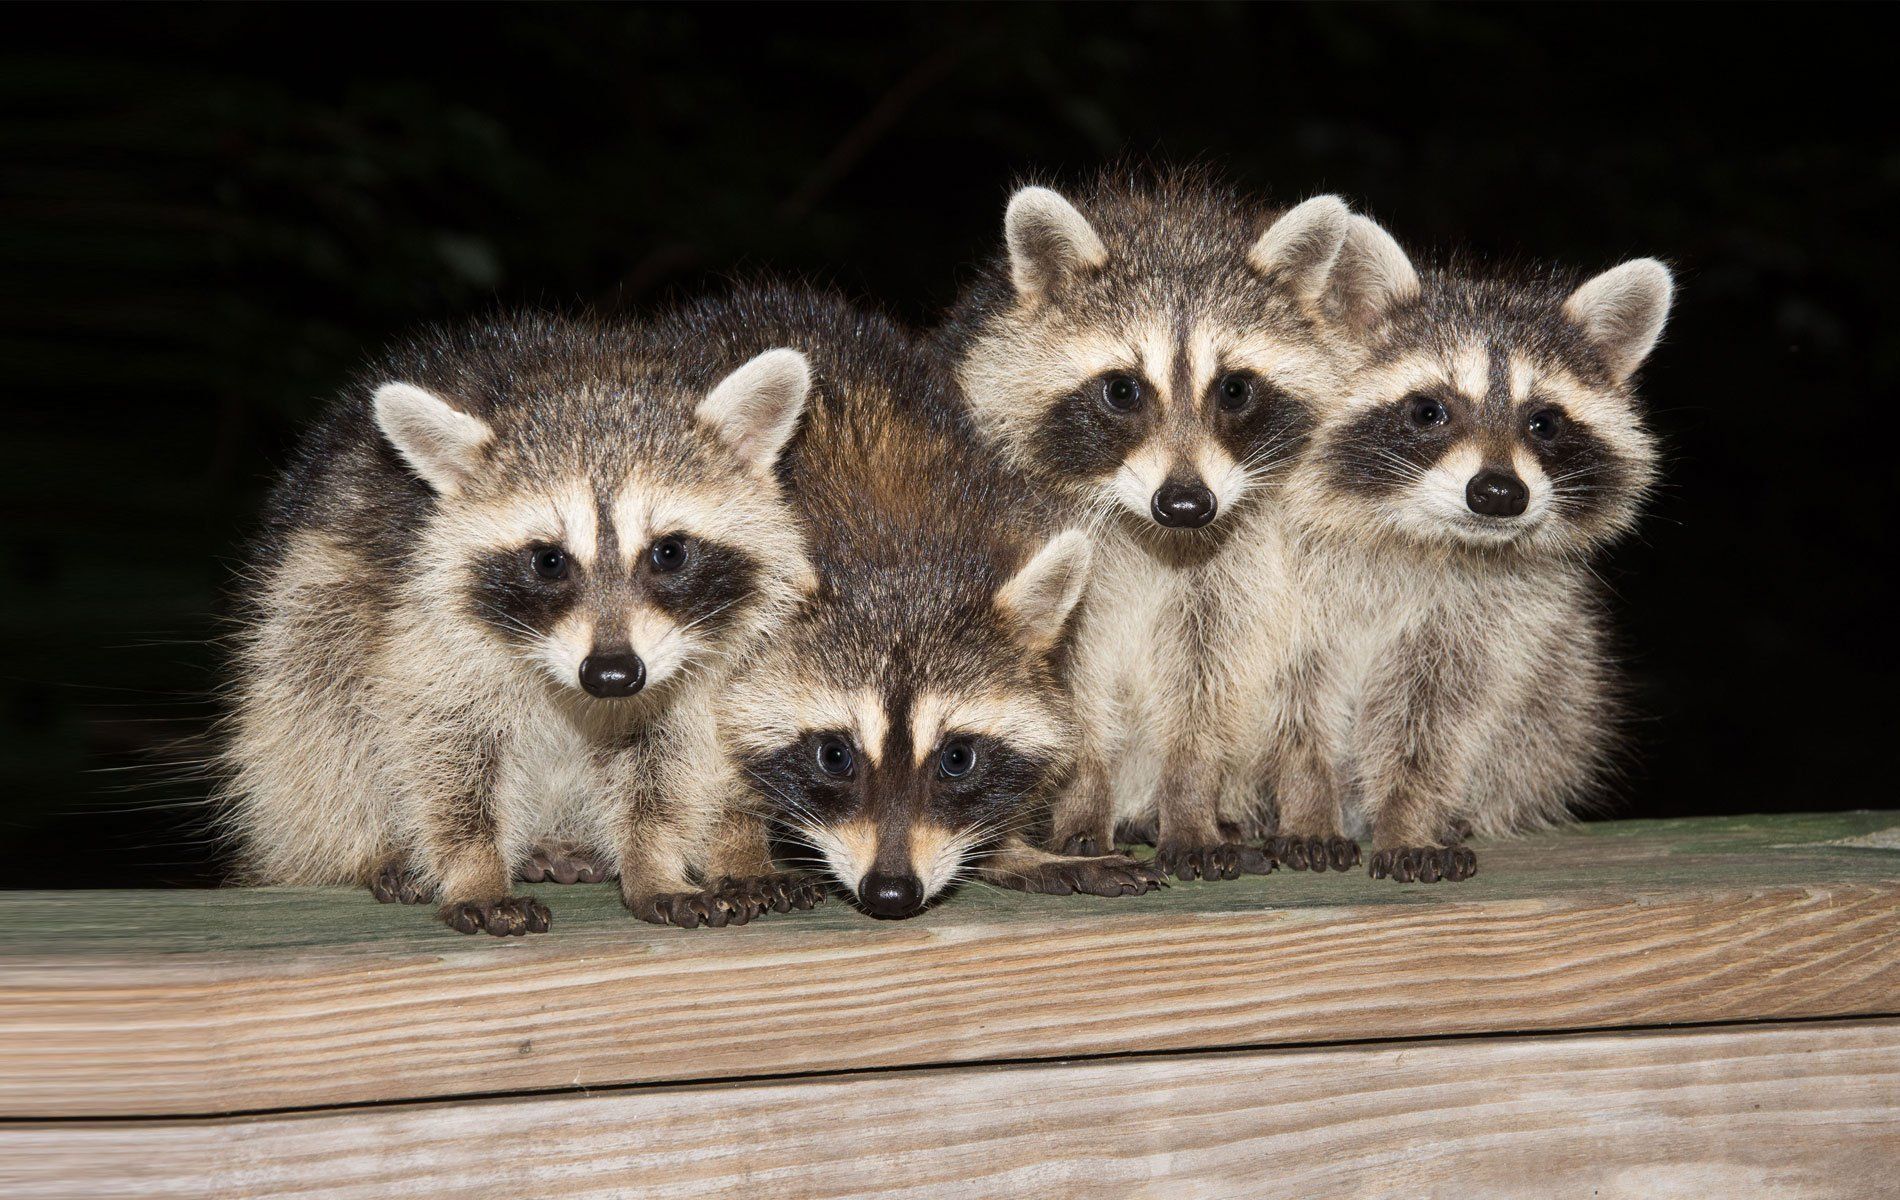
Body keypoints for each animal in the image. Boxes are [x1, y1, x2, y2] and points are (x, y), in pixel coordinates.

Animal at [220, 311, 820, 933]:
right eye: (548, 560)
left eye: (670, 552)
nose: (611, 675)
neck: (587, 381)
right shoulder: (423, 624)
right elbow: (442, 746)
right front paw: (474, 868)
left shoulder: (694, 664)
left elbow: (670, 759)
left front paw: (654, 860)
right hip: (309, 602)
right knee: (320, 718)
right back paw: (367, 848)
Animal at [664, 285, 1164, 918]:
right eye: (834, 756)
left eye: (958, 758)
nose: (891, 893)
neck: (899, 547)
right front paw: (738, 847)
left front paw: (1012, 849)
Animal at [939, 171, 1357, 880]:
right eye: (1122, 390)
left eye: (1235, 389)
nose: (1185, 504)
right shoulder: (1048, 541)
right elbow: (1068, 687)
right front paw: (1083, 804)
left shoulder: (1237, 563)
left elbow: (1206, 680)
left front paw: (1189, 805)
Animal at [1270, 215, 1672, 880]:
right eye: (1430, 410)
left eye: (1544, 422)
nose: (1499, 493)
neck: (1426, 539)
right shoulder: (1280, 573)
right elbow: (1290, 700)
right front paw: (1306, 802)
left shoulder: (1488, 619)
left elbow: (1437, 719)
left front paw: (1408, 814)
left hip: (1561, 697)